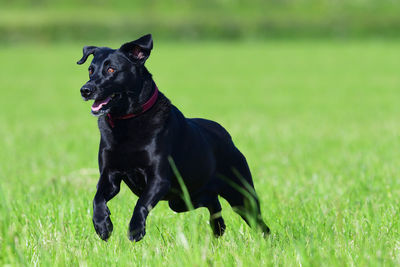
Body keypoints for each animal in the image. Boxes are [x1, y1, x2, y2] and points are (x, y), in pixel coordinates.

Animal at [76, 34, 270, 242]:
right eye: (90, 70)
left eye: (111, 69)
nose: (85, 90)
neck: (127, 121)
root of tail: (226, 136)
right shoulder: (109, 175)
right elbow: (97, 198)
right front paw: (102, 225)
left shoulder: (159, 179)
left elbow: (141, 203)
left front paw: (135, 230)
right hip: (182, 201)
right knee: (213, 203)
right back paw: (218, 228)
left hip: (241, 195)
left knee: (259, 223)